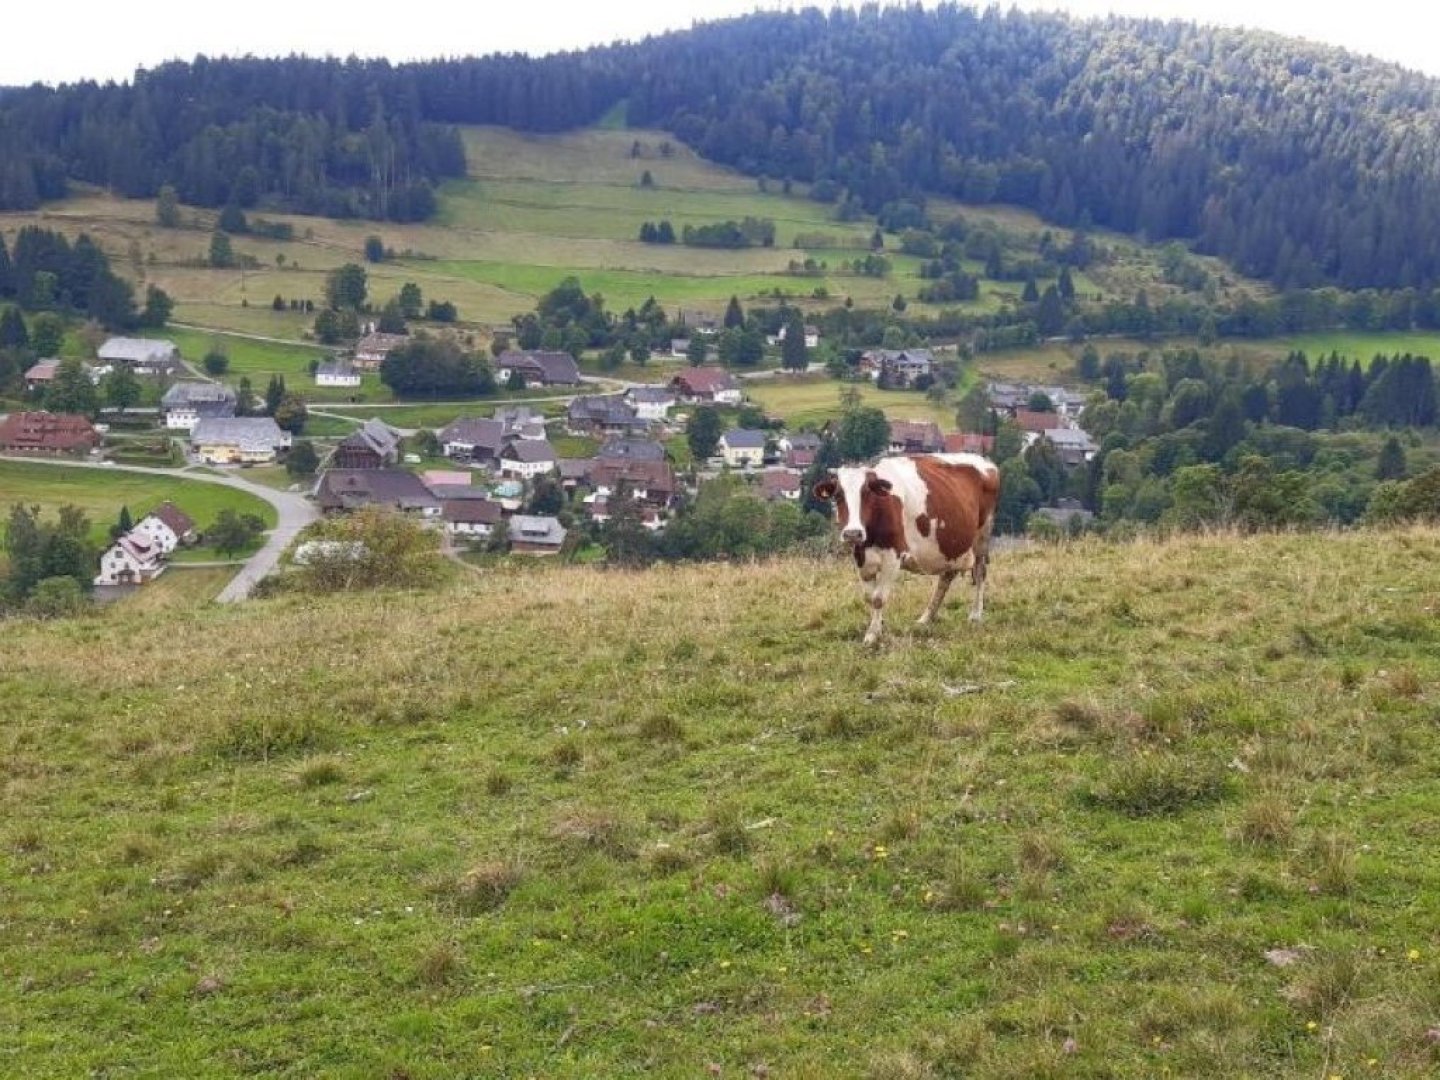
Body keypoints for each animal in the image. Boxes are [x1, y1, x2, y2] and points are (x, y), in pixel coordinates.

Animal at [812, 452, 1002, 648]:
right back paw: (926, 618)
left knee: (979, 572)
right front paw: (879, 625)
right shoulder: (860, 557)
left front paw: (872, 635)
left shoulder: (892, 557)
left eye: (867, 493)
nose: (852, 533)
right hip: (950, 546)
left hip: (982, 535)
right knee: (946, 577)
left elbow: (878, 598)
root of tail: (984, 461)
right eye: (838, 495)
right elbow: (869, 597)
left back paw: (975, 615)